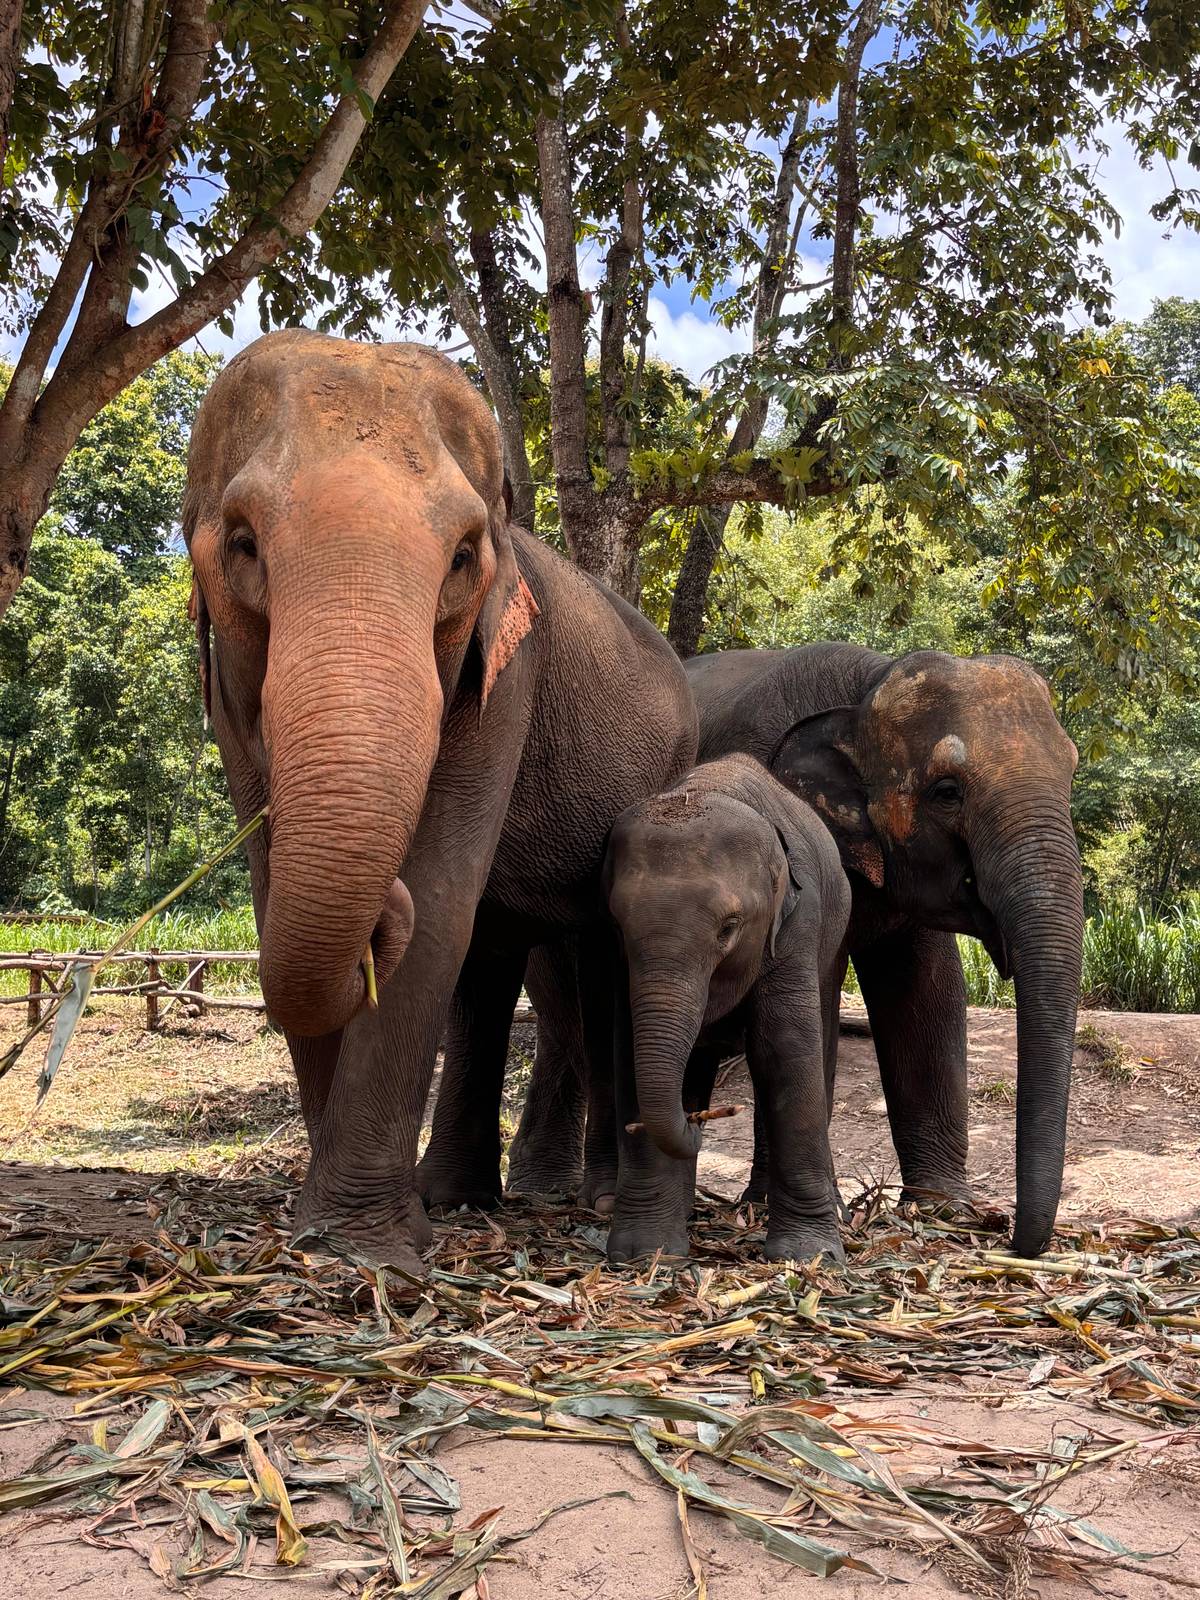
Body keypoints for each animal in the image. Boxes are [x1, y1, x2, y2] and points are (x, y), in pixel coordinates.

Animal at [183, 329, 697, 1271]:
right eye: (241, 543)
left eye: (461, 557)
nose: (377, 918)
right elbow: (277, 899)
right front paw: (329, 1230)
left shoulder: (506, 680)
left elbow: (442, 896)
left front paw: (360, 1245)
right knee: (500, 956)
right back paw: (462, 1196)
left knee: (590, 957)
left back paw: (589, 1196)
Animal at [603, 754, 852, 1264]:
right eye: (617, 923)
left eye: (729, 928)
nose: (699, 1123)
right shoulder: (622, 966)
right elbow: (629, 1054)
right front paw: (647, 1254)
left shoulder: (797, 928)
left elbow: (786, 1053)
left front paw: (808, 1256)